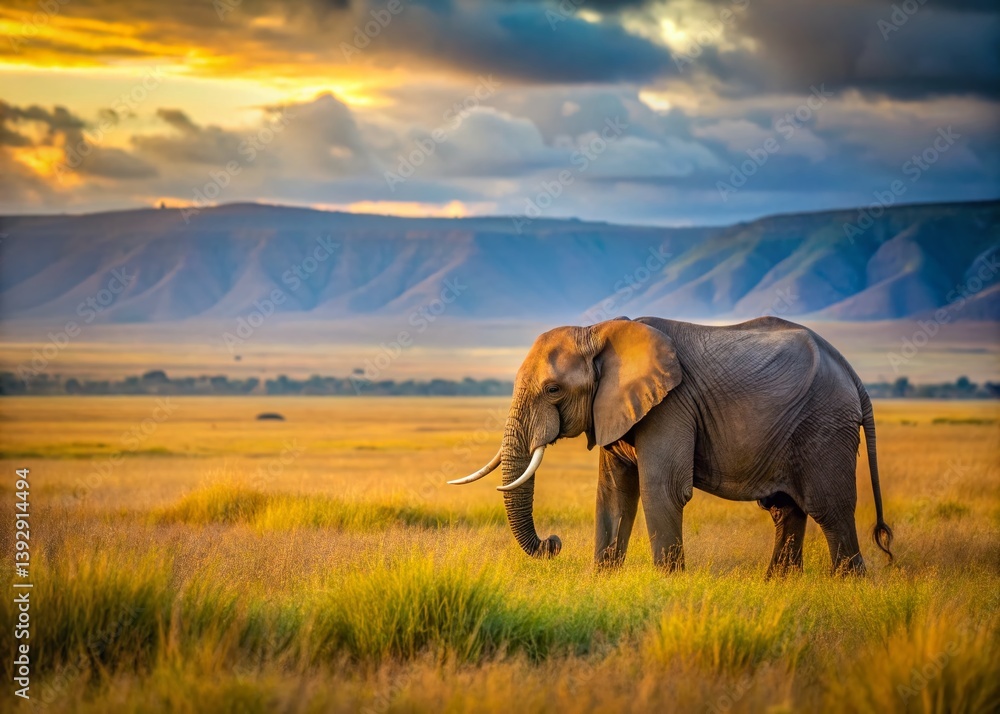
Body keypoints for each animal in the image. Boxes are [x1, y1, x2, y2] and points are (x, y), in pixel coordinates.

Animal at [450, 316, 894, 576]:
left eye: (553, 389)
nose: (554, 543)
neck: (599, 329)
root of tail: (854, 376)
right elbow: (614, 494)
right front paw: (604, 579)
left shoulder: (671, 405)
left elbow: (662, 489)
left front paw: (668, 583)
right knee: (787, 510)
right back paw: (780, 585)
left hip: (825, 425)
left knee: (829, 508)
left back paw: (848, 585)